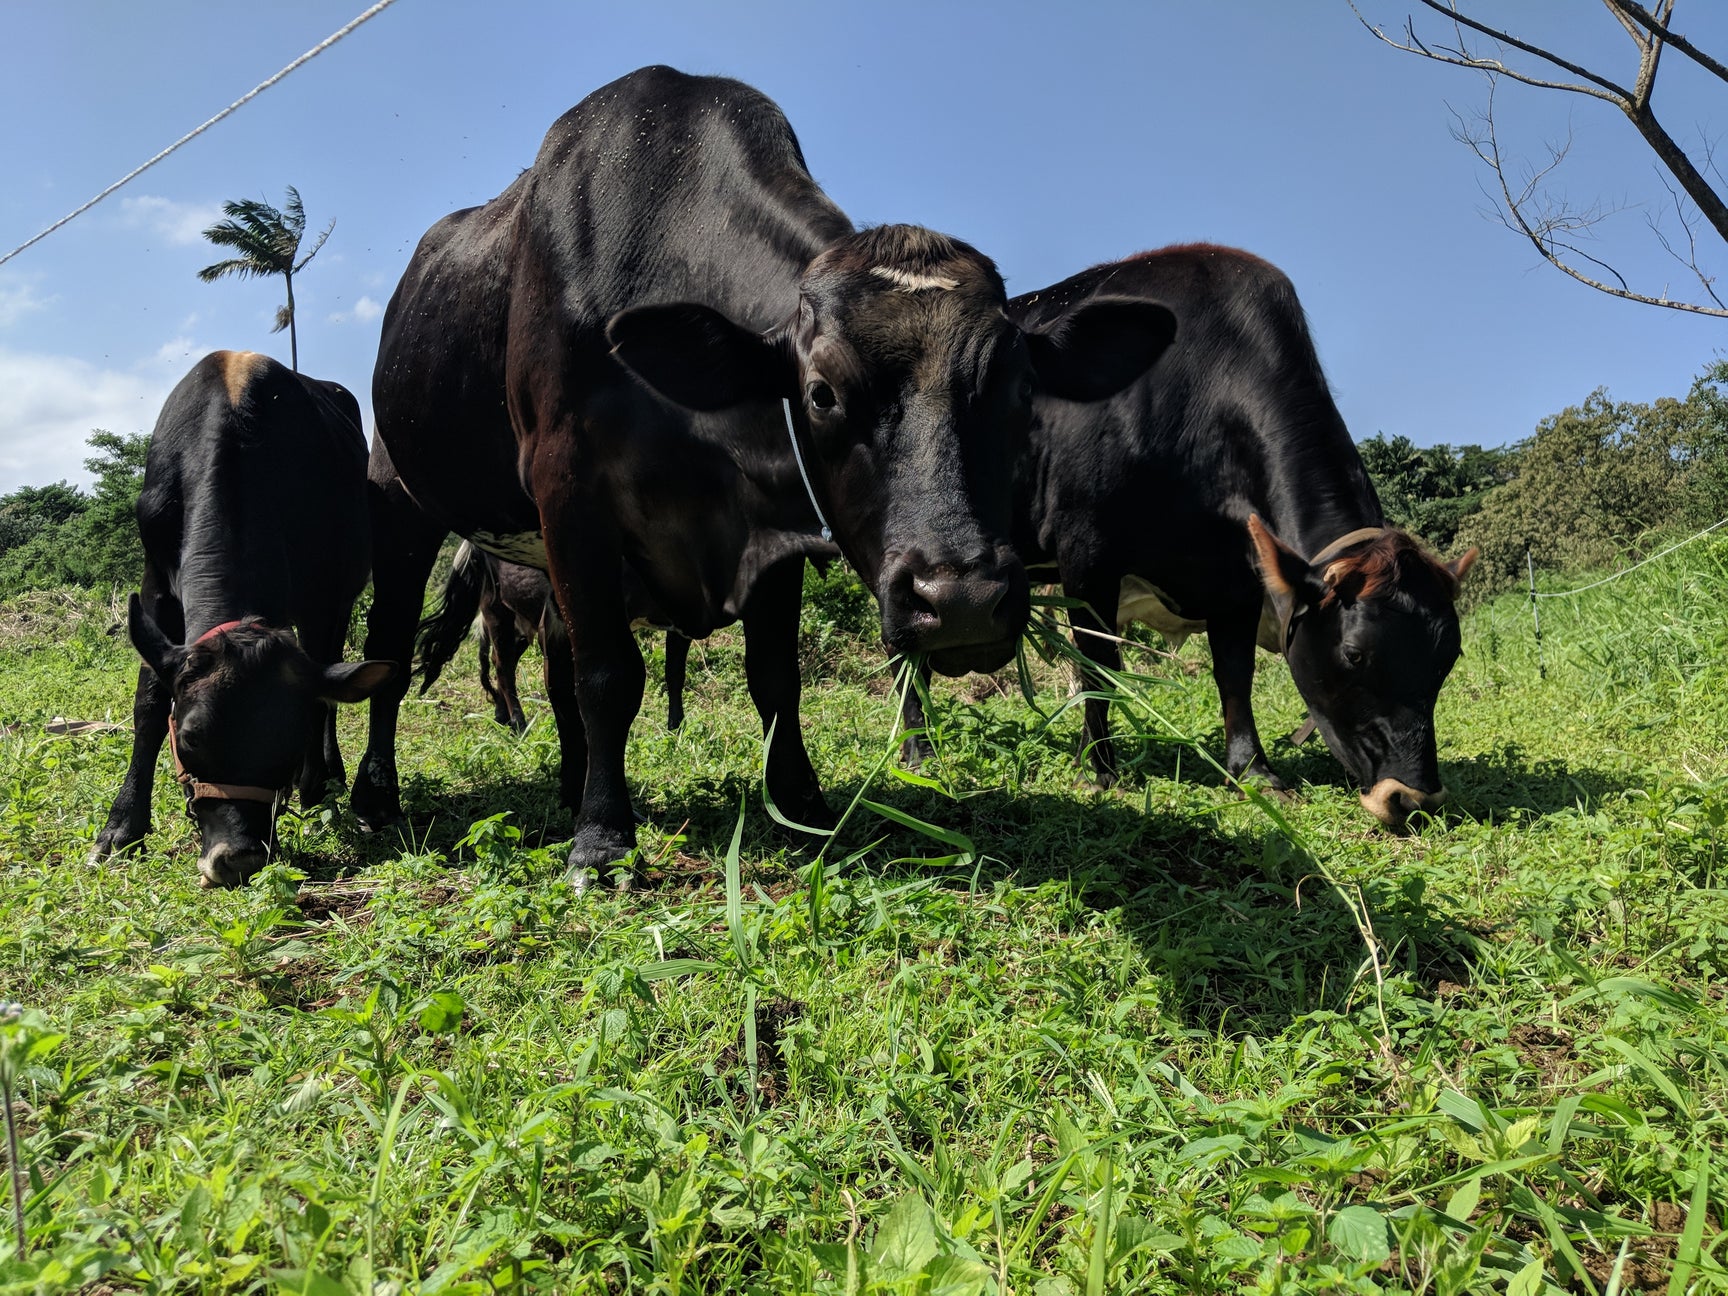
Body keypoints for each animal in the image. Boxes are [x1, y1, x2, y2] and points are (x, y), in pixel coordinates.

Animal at [89, 351, 395, 887]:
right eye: (190, 737)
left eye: (288, 742)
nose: (238, 856)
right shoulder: (155, 586)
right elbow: (148, 703)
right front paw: (121, 828)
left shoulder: (324, 598)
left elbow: (320, 697)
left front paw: (314, 787)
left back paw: (329, 777)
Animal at [349, 65, 1175, 882]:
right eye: (821, 393)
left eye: (1018, 388)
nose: (962, 601)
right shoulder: (569, 490)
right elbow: (607, 675)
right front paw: (603, 838)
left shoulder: (772, 529)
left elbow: (774, 676)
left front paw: (802, 803)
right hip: (399, 500)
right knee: (390, 649)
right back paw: (376, 797)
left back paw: (567, 783)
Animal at [903, 245, 1476, 831]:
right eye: (1355, 654)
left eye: (1448, 656)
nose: (1412, 798)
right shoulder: (1087, 553)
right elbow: (1098, 666)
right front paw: (1097, 769)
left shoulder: (1236, 577)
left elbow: (1235, 674)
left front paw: (1253, 771)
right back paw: (916, 750)